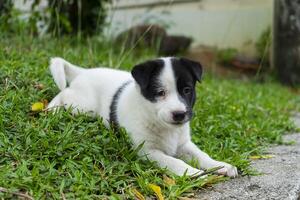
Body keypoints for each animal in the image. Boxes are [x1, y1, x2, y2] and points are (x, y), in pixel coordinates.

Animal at [47, 57, 239, 177]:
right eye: (160, 93)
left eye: (187, 90)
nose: (180, 114)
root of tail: (84, 72)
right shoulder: (147, 151)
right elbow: (173, 161)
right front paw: (193, 173)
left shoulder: (184, 144)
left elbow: (202, 155)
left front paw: (220, 165)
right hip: (82, 106)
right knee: (64, 92)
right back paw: (51, 109)